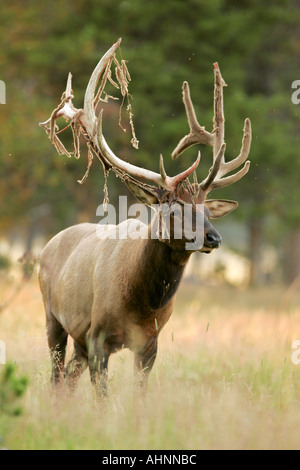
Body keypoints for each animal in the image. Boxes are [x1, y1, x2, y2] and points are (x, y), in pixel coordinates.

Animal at [39, 38, 251, 394]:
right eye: (173, 208)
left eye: (207, 210)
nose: (214, 237)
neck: (139, 304)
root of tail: (47, 244)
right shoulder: (97, 336)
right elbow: (102, 396)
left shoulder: (150, 342)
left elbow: (140, 396)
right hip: (53, 317)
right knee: (56, 378)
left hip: (77, 338)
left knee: (67, 379)